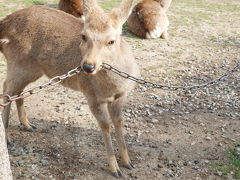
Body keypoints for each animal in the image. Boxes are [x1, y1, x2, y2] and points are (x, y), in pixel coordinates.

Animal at [0, 0, 140, 177]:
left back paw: (27, 124)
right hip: (18, 62)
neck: (114, 85)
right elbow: (105, 125)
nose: (87, 67)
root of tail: (3, 24)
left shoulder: (120, 97)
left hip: (32, 70)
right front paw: (114, 169)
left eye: (111, 41)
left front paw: (128, 162)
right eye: (84, 36)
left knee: (17, 91)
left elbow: (118, 122)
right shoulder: (92, 96)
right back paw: (7, 137)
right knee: (6, 89)